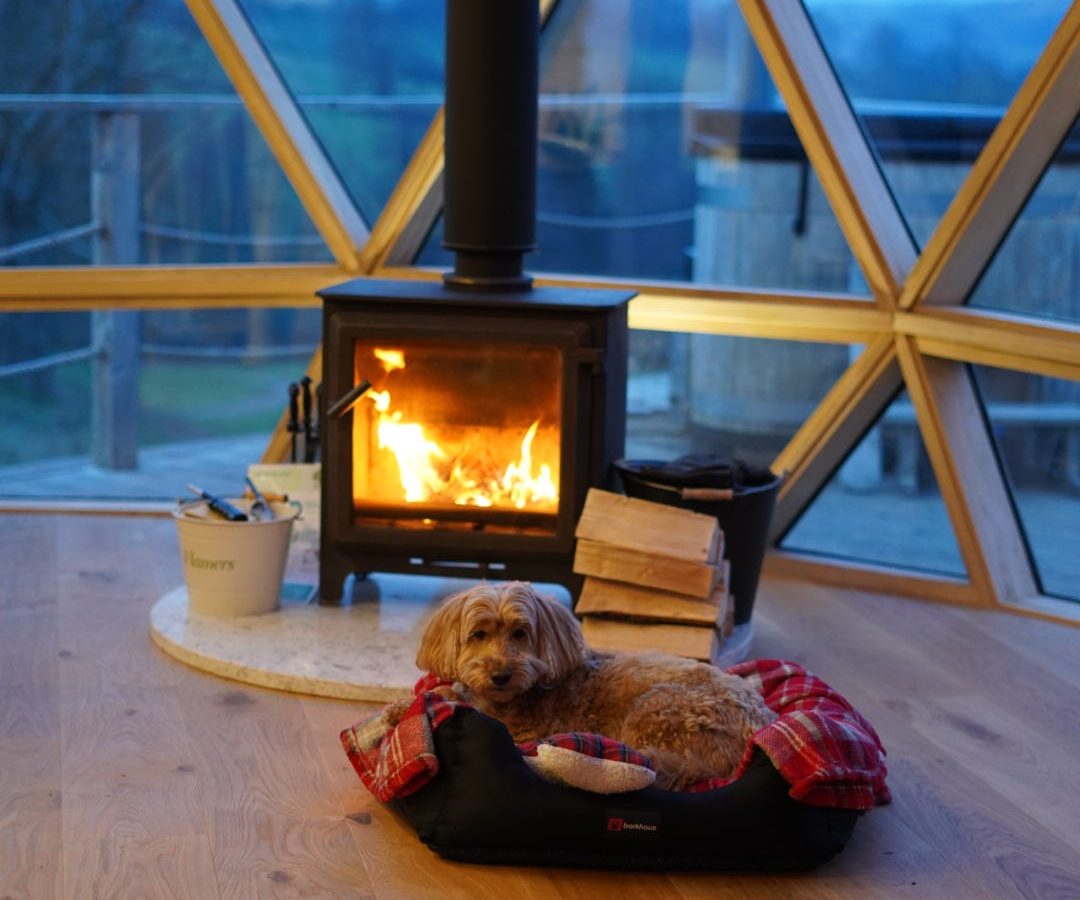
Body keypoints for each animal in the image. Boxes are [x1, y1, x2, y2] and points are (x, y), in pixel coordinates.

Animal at [412, 583, 777, 786]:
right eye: (479, 634)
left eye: (520, 633)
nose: (500, 675)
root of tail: (759, 725)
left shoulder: (523, 731)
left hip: (655, 710)